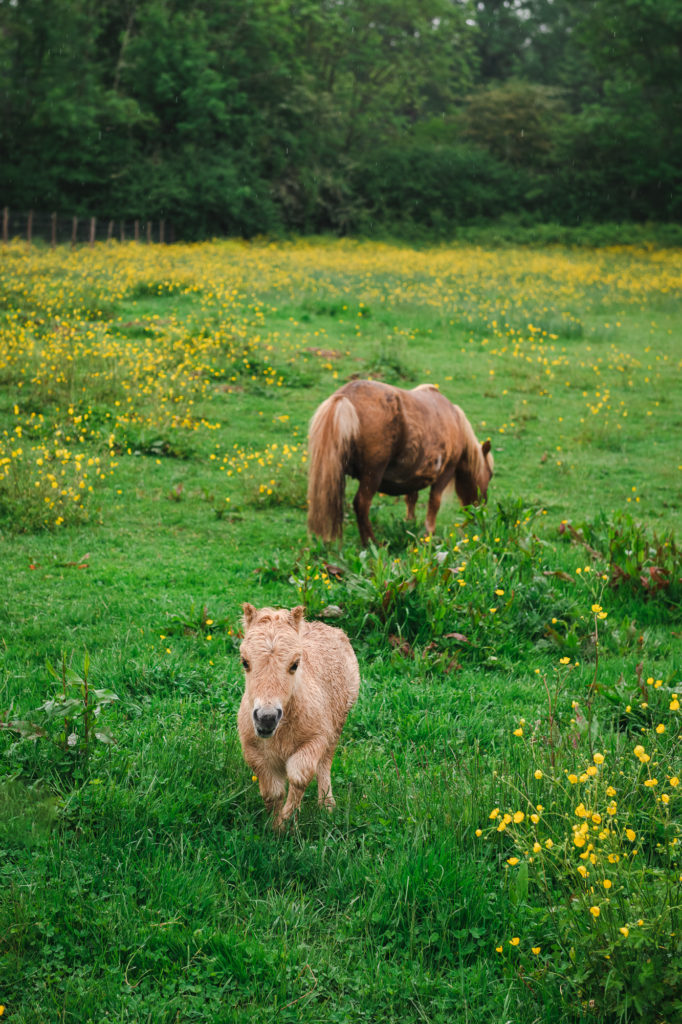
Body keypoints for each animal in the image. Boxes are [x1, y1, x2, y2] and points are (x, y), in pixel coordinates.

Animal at [305, 380, 491, 544]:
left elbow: (411, 499)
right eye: (490, 475)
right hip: (372, 474)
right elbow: (434, 503)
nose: (480, 509)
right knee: (362, 504)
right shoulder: (445, 472)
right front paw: (429, 534)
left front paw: (410, 524)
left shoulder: (414, 475)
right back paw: (371, 543)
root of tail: (345, 396)